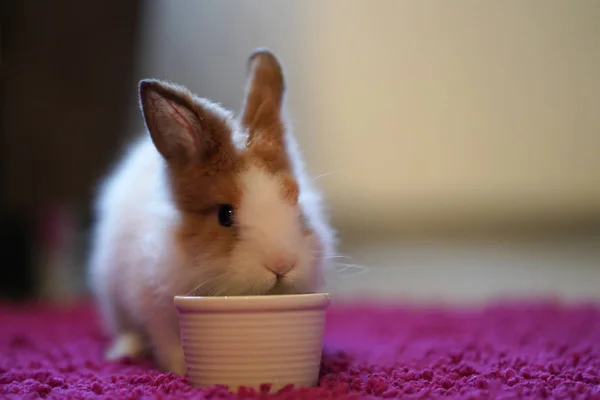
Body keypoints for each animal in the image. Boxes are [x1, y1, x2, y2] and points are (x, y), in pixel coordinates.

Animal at [86, 48, 336, 376]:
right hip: (112, 297)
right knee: (126, 330)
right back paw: (122, 353)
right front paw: (180, 370)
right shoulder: (156, 307)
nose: (281, 265)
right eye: (225, 215)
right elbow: (169, 344)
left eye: (295, 199)